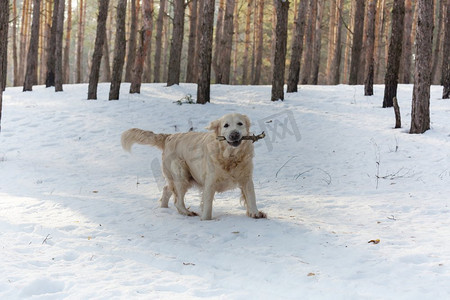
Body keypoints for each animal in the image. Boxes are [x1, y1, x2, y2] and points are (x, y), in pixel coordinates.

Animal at [121, 112, 266, 220]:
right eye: (226, 125)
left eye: (240, 123)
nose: (234, 134)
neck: (230, 156)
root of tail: (168, 136)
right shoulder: (210, 182)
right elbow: (207, 205)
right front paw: (206, 220)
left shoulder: (246, 178)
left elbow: (251, 197)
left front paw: (255, 213)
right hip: (181, 172)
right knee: (178, 200)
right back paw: (187, 212)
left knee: (167, 189)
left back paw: (164, 208)